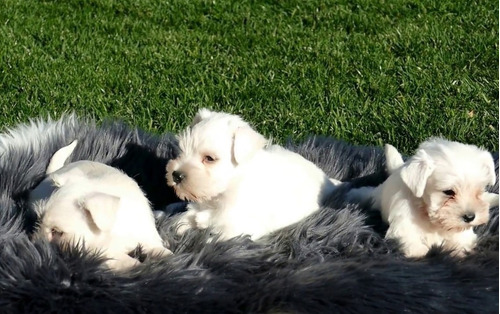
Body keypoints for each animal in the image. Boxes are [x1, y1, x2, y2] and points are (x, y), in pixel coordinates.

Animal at [31, 141, 172, 272]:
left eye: (58, 232)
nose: (34, 247)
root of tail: (52, 172)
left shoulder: (146, 233)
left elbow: (155, 247)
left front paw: (167, 257)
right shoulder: (100, 254)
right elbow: (123, 260)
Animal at [358, 138, 498, 258]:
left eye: (478, 191)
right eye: (448, 192)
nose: (470, 217)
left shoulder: (463, 233)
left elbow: (461, 241)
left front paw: (457, 250)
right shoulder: (403, 227)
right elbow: (412, 244)